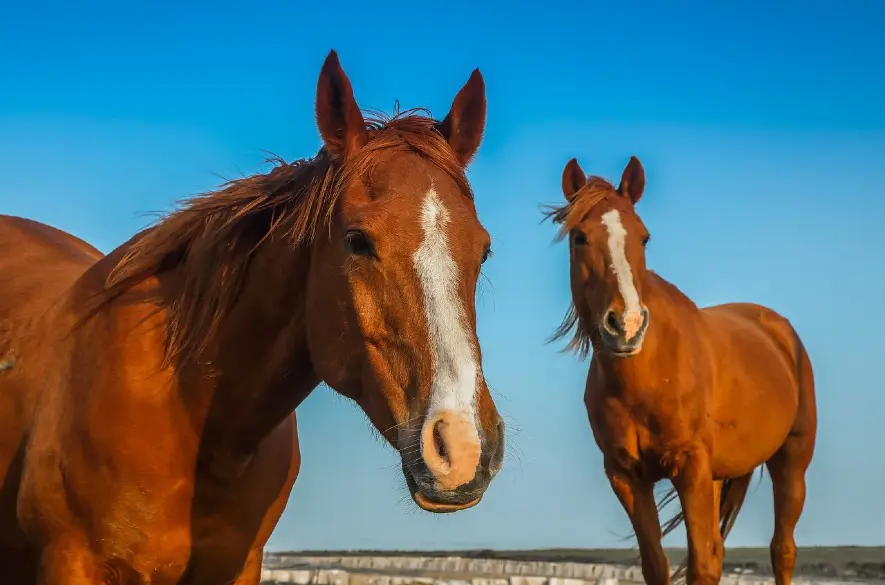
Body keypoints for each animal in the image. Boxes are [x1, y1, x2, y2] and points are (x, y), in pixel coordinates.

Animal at [544, 156, 816, 584]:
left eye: (644, 238)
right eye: (579, 237)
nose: (626, 325)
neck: (647, 376)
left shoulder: (691, 467)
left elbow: (701, 562)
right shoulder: (626, 476)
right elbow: (658, 563)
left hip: (791, 462)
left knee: (782, 550)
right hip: (718, 476)